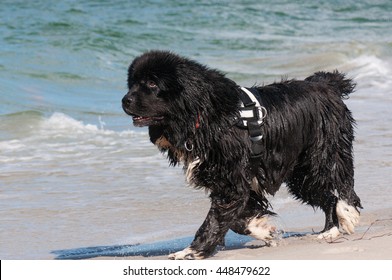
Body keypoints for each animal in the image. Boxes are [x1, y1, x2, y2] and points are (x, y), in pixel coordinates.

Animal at [121, 49, 362, 258]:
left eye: (152, 83)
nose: (125, 100)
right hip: (301, 175)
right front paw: (264, 229)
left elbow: (215, 219)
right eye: (132, 83)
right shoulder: (232, 180)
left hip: (323, 153)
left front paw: (190, 252)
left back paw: (347, 212)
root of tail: (325, 83)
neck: (203, 114)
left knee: (343, 182)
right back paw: (329, 230)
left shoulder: (231, 180)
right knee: (327, 195)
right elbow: (236, 218)